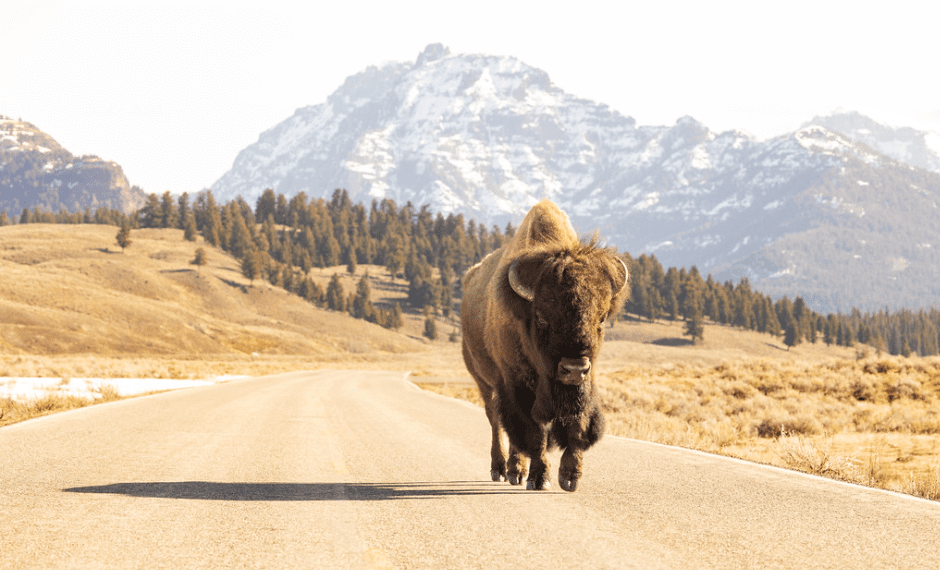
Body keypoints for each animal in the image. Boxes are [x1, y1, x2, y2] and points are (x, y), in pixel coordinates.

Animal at [461, 200, 627, 492]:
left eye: (602, 318)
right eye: (541, 317)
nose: (574, 368)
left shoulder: (585, 385)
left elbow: (578, 426)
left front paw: (570, 477)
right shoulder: (516, 384)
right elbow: (534, 432)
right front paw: (539, 478)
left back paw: (516, 471)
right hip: (484, 381)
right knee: (496, 421)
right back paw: (503, 470)